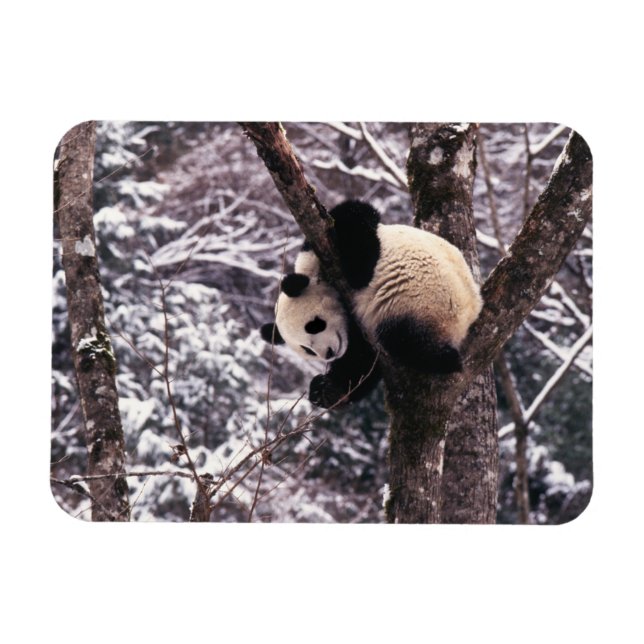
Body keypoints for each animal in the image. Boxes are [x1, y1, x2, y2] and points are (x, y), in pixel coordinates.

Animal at [260, 200, 482, 408]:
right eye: (307, 350)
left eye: (314, 325)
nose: (329, 354)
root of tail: (469, 315)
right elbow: (361, 360)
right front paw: (325, 390)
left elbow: (355, 221)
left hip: (423, 301)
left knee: (403, 339)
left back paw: (445, 359)